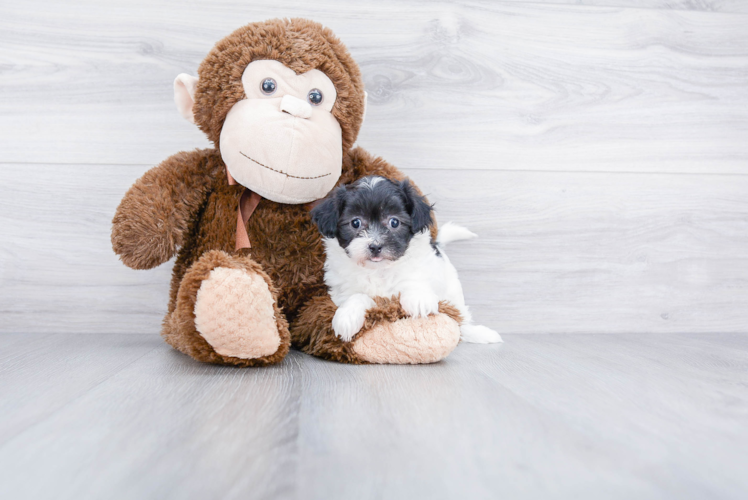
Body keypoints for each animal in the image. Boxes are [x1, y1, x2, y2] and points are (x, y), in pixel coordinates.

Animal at [310, 176, 502, 344]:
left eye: (394, 222)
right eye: (355, 223)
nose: (375, 246)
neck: (379, 270)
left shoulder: (419, 268)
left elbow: (412, 281)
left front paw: (418, 301)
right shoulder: (342, 289)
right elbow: (356, 296)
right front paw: (347, 317)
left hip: (453, 292)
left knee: (461, 318)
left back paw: (478, 333)